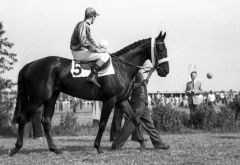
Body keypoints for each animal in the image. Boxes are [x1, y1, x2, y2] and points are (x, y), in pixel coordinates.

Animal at [9, 31, 169, 156]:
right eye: (161, 49)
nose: (165, 71)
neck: (121, 67)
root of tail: (30, 64)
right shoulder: (110, 100)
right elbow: (103, 123)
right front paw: (98, 147)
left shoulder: (121, 100)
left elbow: (135, 119)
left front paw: (143, 143)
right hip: (37, 99)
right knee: (23, 118)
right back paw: (16, 148)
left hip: (51, 98)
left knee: (46, 121)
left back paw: (55, 149)